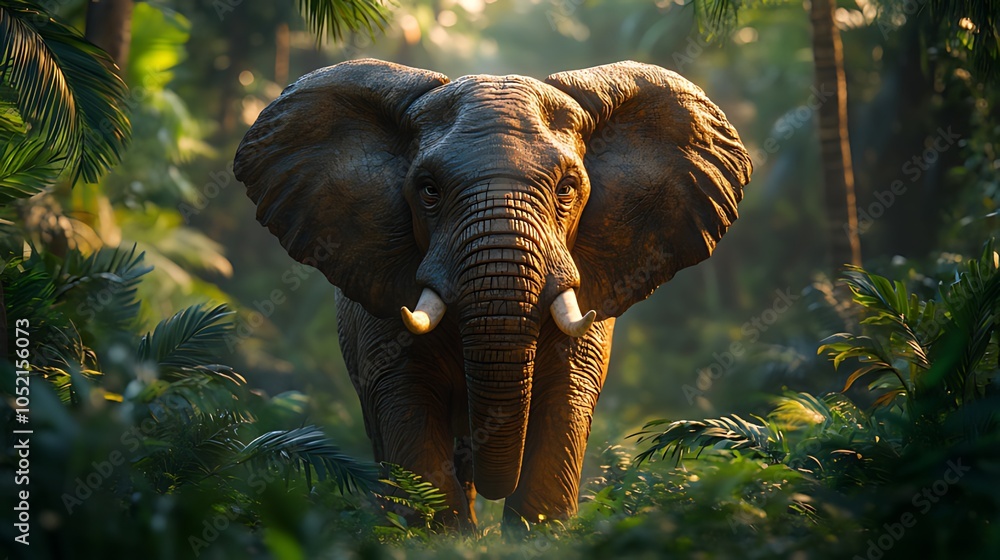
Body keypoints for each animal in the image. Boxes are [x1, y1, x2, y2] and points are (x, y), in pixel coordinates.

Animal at [233, 58, 751, 532]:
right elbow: (406, 404)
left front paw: (534, 534)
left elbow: (564, 401)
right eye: (428, 191)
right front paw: (440, 537)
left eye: (567, 189)